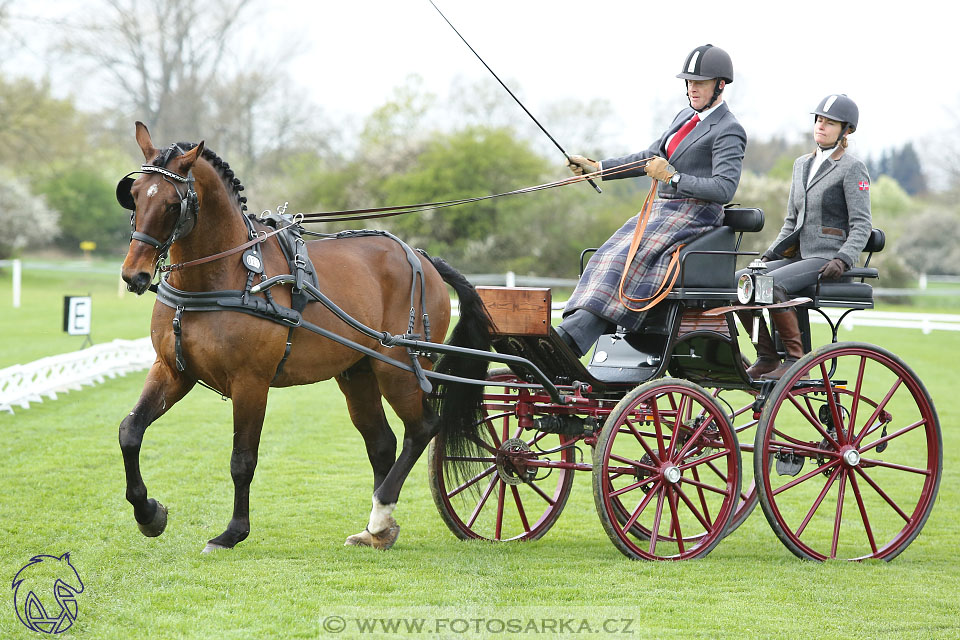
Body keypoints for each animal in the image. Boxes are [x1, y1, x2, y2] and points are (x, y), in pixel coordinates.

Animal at [119, 122, 492, 552]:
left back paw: (381, 512)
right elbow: (130, 431)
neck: (227, 274)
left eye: (171, 204)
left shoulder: (251, 383)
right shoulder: (174, 371)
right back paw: (377, 530)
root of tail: (423, 258)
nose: (134, 275)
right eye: (133, 195)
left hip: (398, 368)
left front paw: (233, 532)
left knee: (423, 429)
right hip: (358, 373)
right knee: (382, 444)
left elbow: (242, 459)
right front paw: (149, 513)